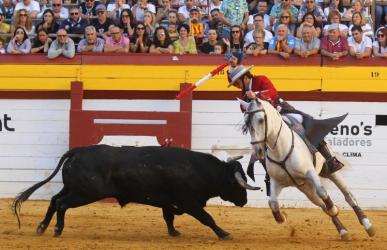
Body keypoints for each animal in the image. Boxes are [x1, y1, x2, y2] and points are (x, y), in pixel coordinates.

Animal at [12, 144, 260, 239]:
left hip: (73, 189)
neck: (200, 170)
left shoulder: (169, 202)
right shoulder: (189, 202)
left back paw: (42, 227)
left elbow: (168, 217)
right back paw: (56, 229)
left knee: (55, 200)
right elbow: (207, 218)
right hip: (85, 193)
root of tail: (78, 150)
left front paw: (174, 233)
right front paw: (224, 233)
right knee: (62, 204)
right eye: (237, 184)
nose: (244, 200)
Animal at [241, 97, 378, 240]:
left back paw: (368, 225)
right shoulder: (276, 181)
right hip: (306, 189)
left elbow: (322, 191)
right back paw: (343, 231)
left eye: (261, 120)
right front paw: (282, 217)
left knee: (348, 196)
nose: (257, 151)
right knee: (322, 205)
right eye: (246, 122)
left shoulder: (310, 172)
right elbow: (272, 203)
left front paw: (334, 209)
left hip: (328, 172)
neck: (280, 150)